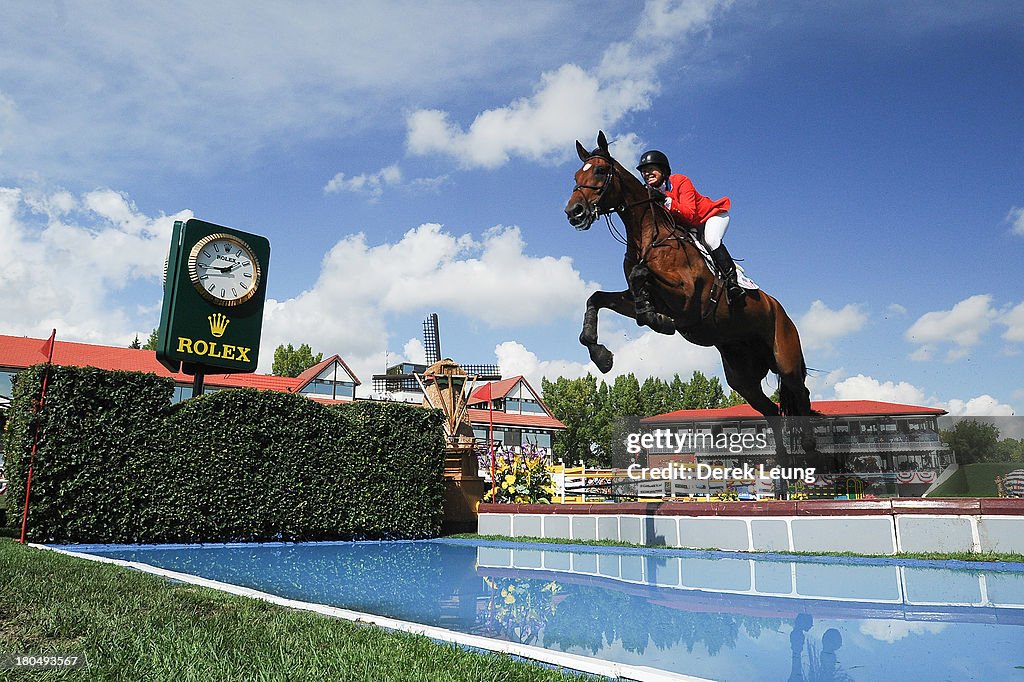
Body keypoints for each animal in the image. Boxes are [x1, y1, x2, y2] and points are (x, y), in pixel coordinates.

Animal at [565, 130, 819, 471]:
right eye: (576, 175)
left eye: (601, 171)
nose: (574, 212)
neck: (649, 235)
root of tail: (780, 310)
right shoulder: (637, 298)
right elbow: (598, 298)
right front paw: (602, 355)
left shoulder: (688, 300)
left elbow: (642, 275)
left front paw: (656, 321)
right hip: (742, 377)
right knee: (772, 409)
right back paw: (781, 469)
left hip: (786, 358)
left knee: (801, 395)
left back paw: (812, 454)